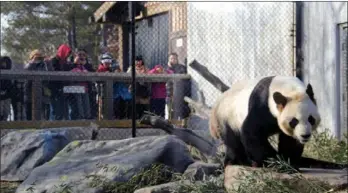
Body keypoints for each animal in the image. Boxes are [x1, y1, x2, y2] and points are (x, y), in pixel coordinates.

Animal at [209, 75, 348, 170]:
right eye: (294, 121)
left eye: (311, 119)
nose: (305, 135)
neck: (290, 89)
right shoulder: (261, 106)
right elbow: (252, 132)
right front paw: (277, 163)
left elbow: (290, 141)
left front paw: (288, 161)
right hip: (227, 118)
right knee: (233, 141)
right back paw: (239, 162)